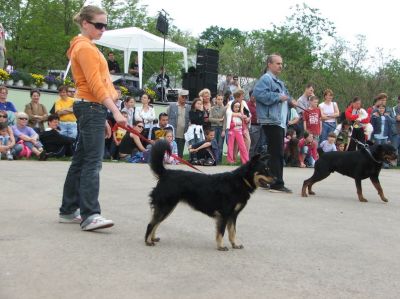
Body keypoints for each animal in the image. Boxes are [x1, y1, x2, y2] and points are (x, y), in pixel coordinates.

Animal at [145, 140, 276, 251]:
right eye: (265, 169)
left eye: (269, 169)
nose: (275, 180)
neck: (241, 180)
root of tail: (165, 173)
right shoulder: (224, 214)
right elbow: (221, 232)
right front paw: (221, 246)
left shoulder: (233, 216)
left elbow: (232, 232)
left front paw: (235, 244)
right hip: (165, 207)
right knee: (151, 224)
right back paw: (148, 241)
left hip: (167, 208)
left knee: (156, 223)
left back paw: (153, 238)